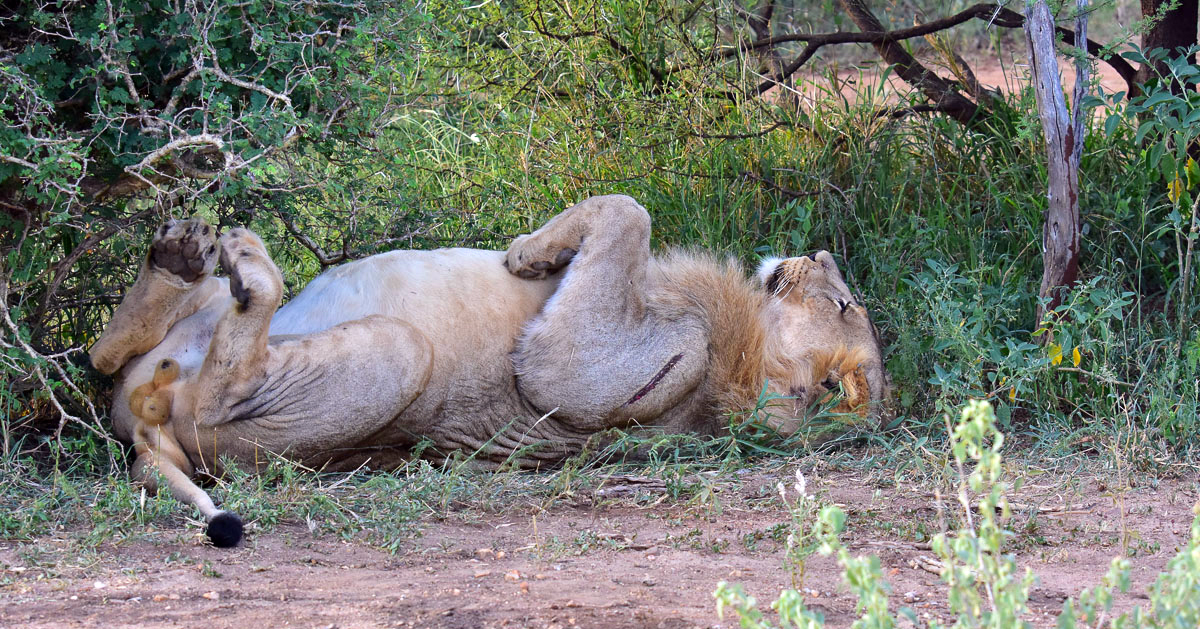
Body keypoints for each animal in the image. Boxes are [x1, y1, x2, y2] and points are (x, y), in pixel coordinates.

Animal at [88, 195, 888, 547]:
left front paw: (526, 252)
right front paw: (539, 251)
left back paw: (250, 266)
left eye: (843, 301)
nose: (818, 252)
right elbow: (628, 209)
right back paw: (180, 253)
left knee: (213, 385)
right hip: (177, 338)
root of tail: (141, 431)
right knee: (108, 355)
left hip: (394, 353)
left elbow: (629, 210)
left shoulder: (618, 367)